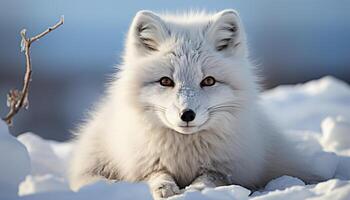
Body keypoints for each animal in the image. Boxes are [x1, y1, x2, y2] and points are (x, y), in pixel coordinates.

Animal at [69, 9, 330, 198]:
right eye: (166, 81)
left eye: (208, 81)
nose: (187, 115)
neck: (185, 154)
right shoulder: (144, 163)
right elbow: (156, 174)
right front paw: (165, 188)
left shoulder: (228, 169)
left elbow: (210, 178)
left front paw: (196, 190)